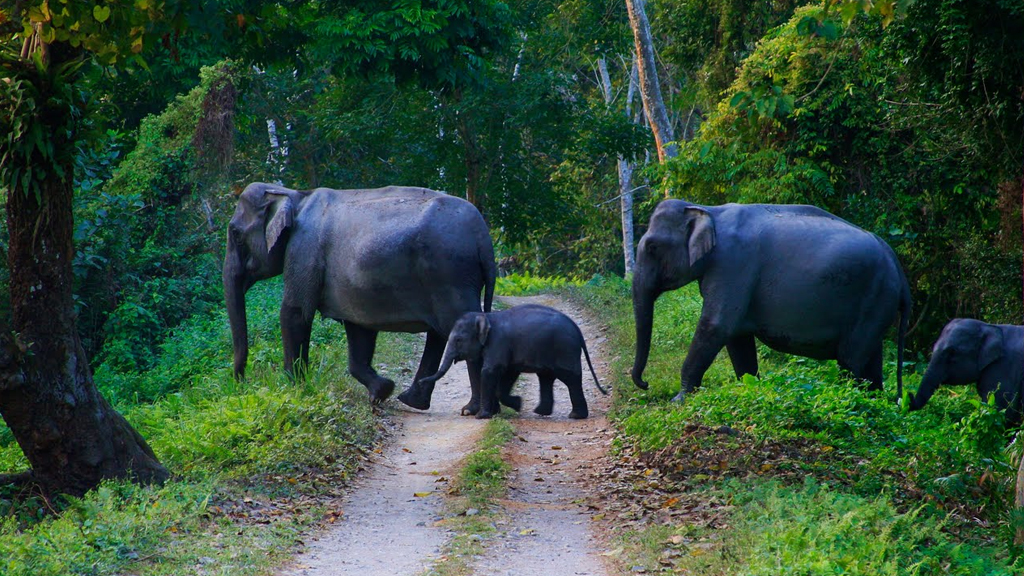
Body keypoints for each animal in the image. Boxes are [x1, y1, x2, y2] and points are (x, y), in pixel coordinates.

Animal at [223, 181, 495, 405]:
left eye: (235, 234)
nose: (241, 385)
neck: (294, 195)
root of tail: (484, 238)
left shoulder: (303, 250)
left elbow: (295, 312)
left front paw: (295, 391)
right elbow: (358, 329)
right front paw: (381, 392)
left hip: (449, 275)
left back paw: (474, 409)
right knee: (440, 333)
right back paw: (412, 401)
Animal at [415, 305, 606, 416]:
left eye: (458, 340)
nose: (420, 381)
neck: (486, 316)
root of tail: (577, 330)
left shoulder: (498, 343)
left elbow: (490, 371)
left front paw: (482, 416)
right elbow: (509, 372)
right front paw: (518, 405)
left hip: (564, 350)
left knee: (570, 378)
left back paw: (575, 416)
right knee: (546, 377)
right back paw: (541, 412)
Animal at [630, 199, 913, 401]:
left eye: (653, 247)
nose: (645, 383)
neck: (708, 210)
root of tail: (898, 267)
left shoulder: (733, 263)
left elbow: (716, 325)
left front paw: (679, 400)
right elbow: (737, 338)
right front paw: (749, 388)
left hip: (874, 299)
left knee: (850, 359)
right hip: (879, 305)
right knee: (871, 360)